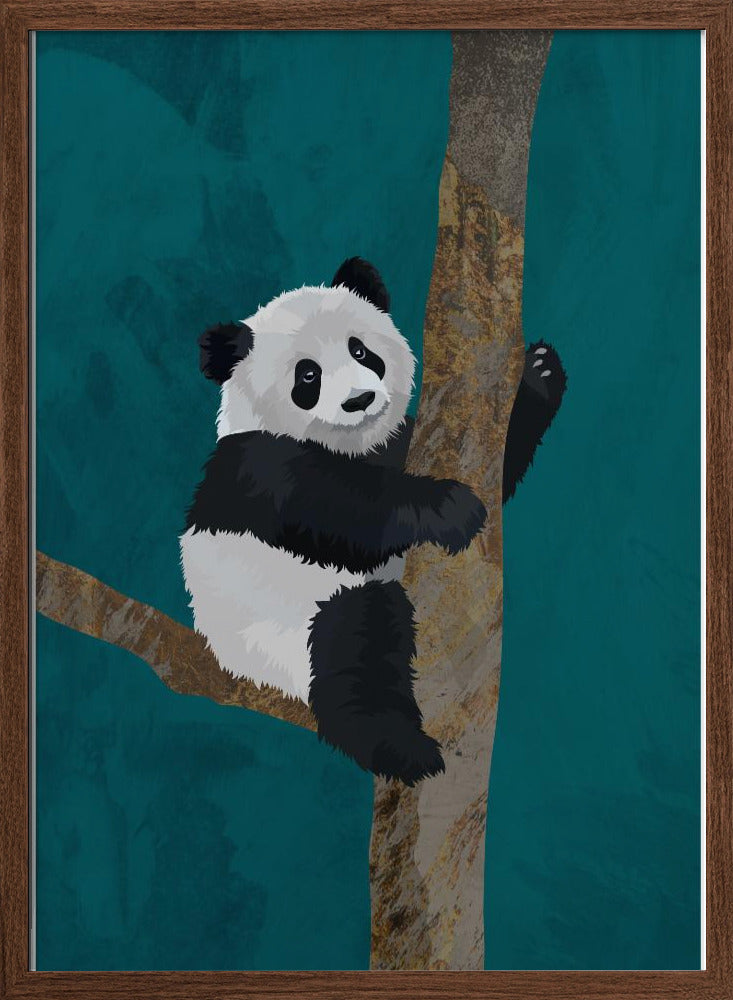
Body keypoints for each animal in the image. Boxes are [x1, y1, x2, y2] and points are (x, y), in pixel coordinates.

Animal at [180, 257, 566, 785]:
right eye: (307, 375)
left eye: (360, 350)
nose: (359, 401)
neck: (350, 446)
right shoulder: (259, 466)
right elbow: (340, 512)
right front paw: (449, 508)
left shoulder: (400, 441)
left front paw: (539, 374)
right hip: (282, 628)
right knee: (358, 648)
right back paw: (402, 749)